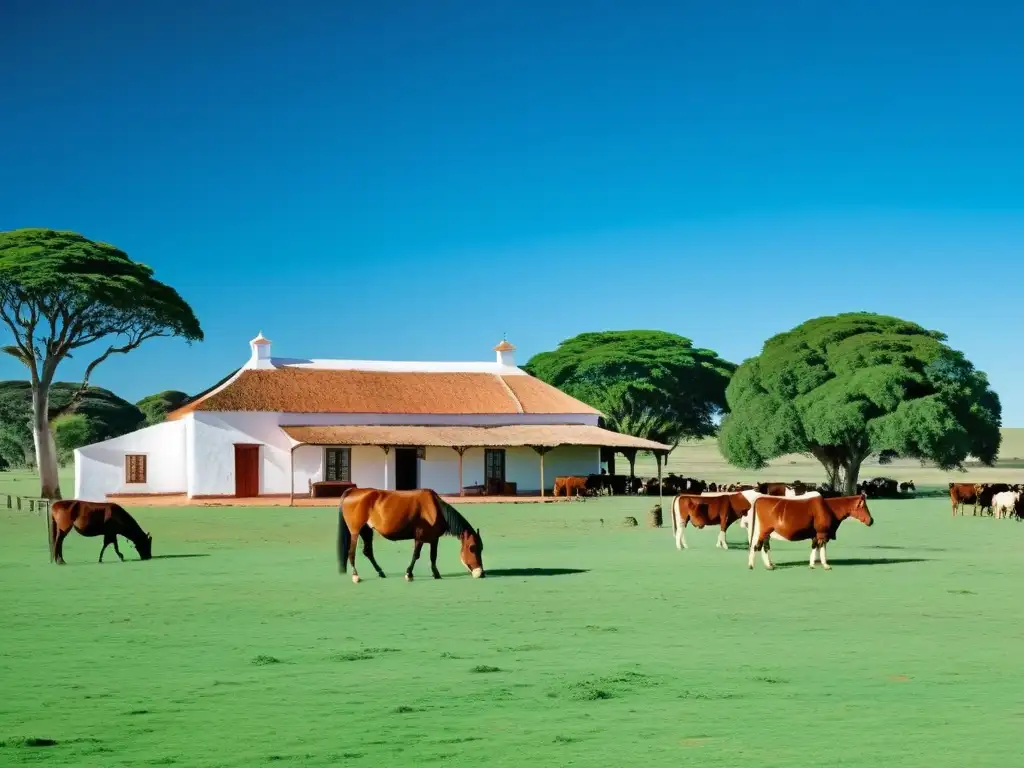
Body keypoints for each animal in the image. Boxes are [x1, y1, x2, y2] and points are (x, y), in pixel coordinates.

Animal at [333, 489, 481, 585]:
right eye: (472, 547)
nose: (481, 572)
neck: (435, 509)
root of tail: (353, 491)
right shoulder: (420, 537)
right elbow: (416, 555)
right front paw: (409, 574)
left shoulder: (434, 539)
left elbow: (433, 556)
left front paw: (436, 574)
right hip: (355, 531)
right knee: (351, 553)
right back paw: (356, 575)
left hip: (367, 530)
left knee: (368, 551)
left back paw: (380, 572)